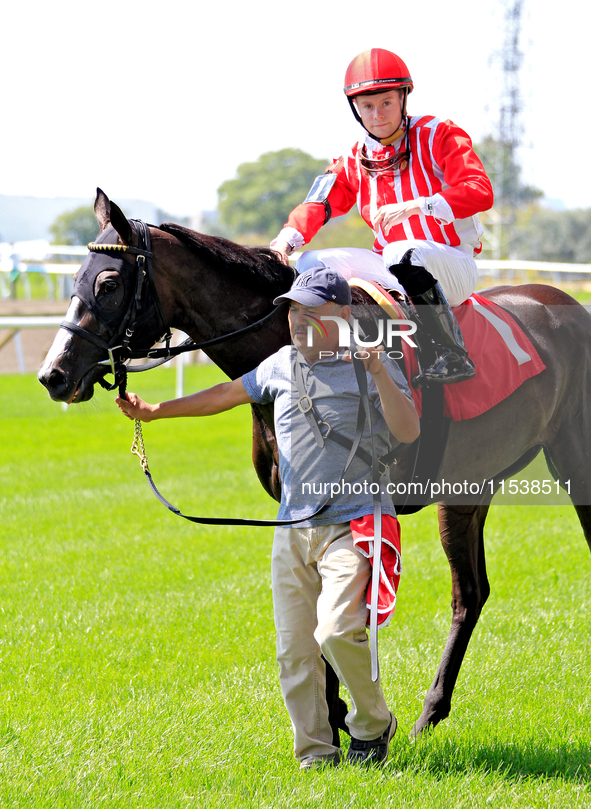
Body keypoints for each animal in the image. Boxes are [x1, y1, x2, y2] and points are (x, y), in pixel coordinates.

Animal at [38, 191, 591, 740]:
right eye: (75, 276)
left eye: (108, 283)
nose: (53, 374)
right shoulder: (299, 505)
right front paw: (333, 711)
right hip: (472, 486)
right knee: (472, 593)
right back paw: (431, 709)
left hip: (566, 460)